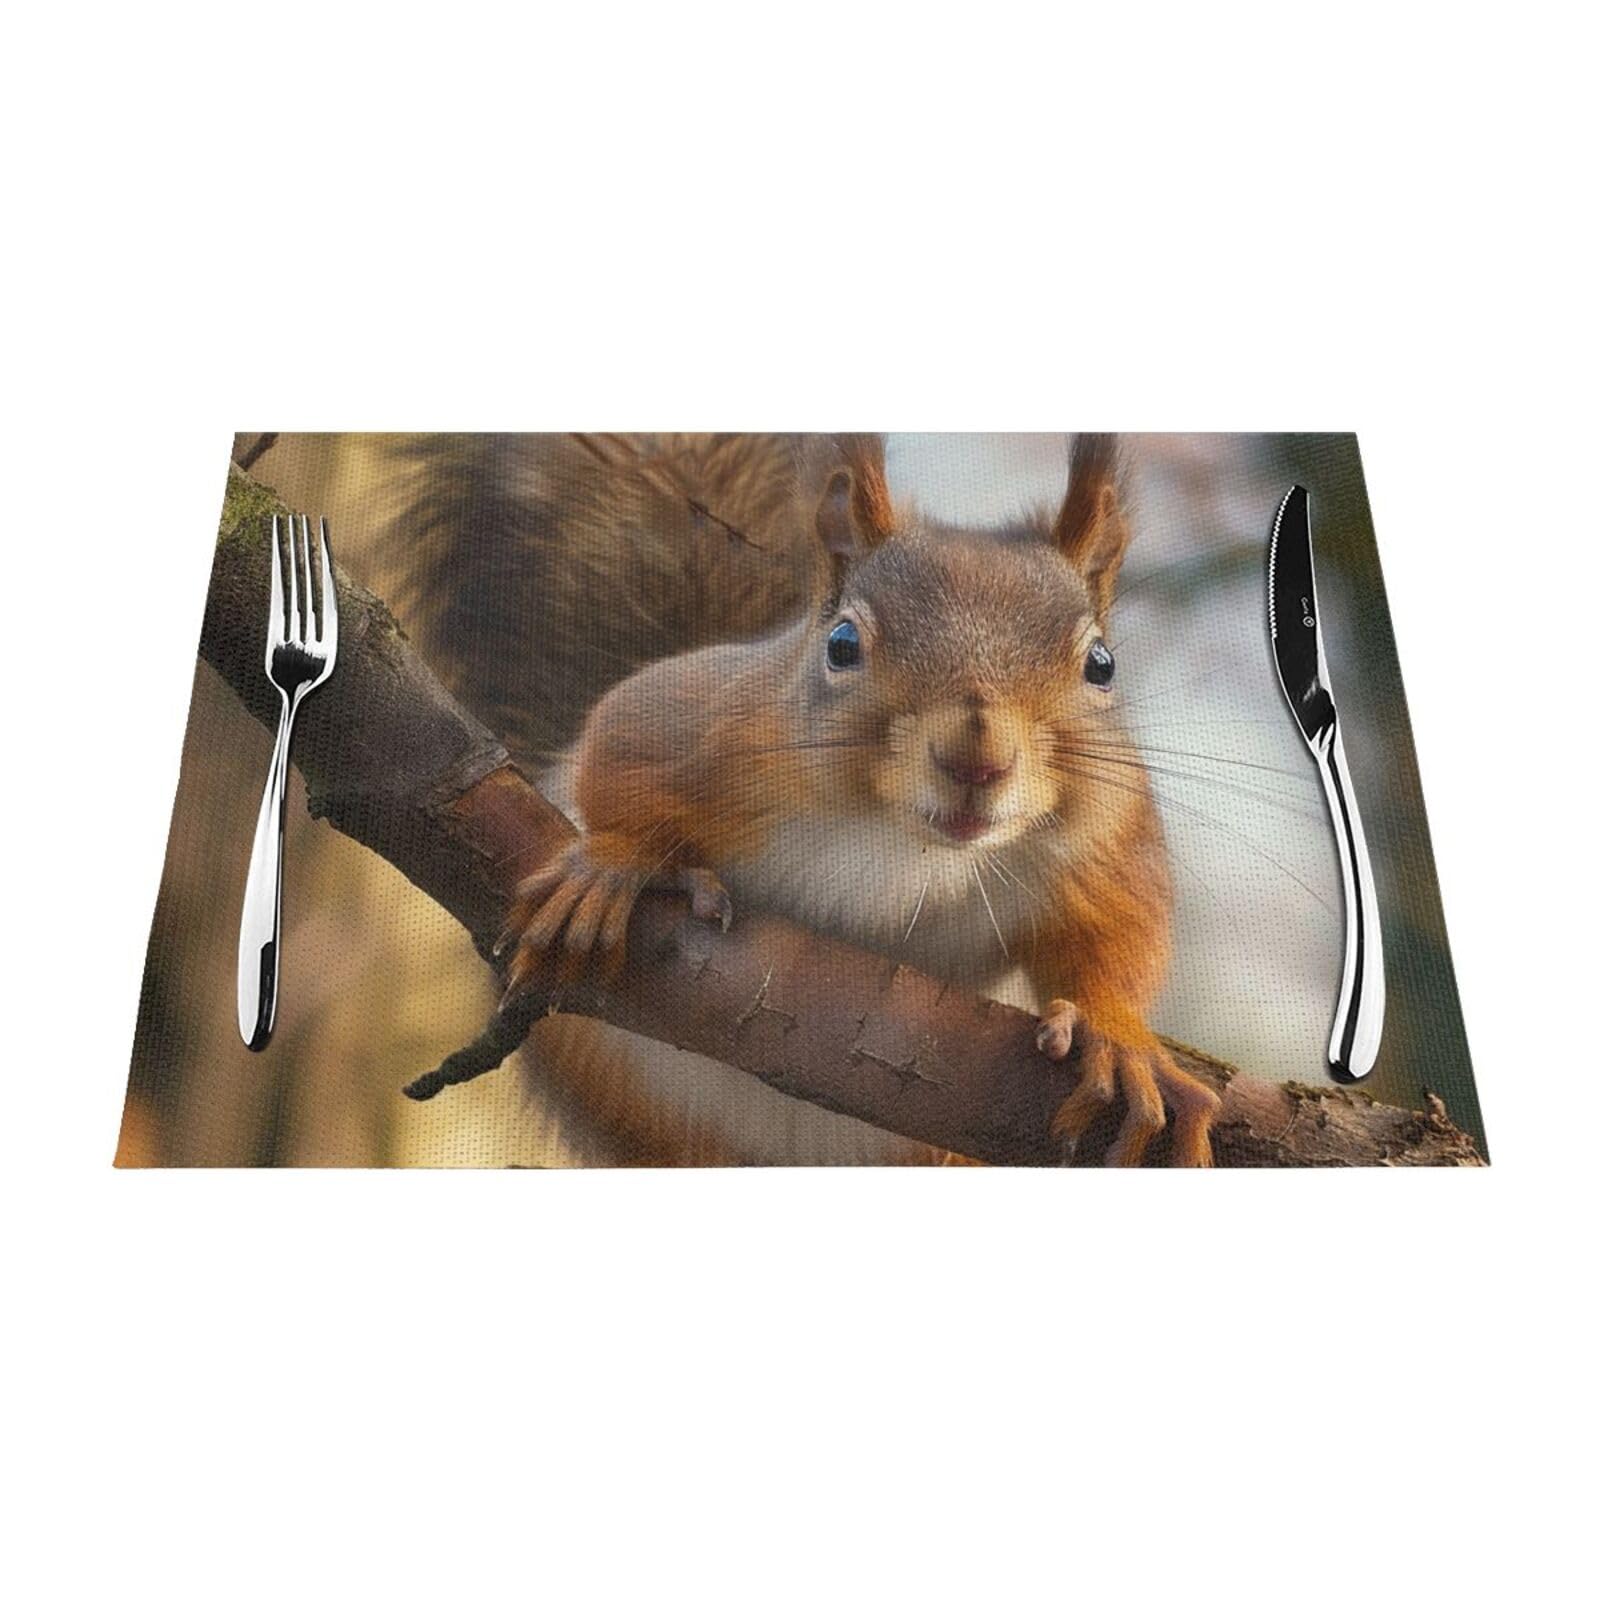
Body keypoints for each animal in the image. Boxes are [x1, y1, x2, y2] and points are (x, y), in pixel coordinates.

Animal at [390, 433, 1220, 1166]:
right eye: (842, 645)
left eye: (1102, 666)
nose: (976, 759)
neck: (902, 841)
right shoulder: (701, 718)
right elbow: (618, 751)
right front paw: (617, 862)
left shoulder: (1109, 832)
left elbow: (1118, 931)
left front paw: (1117, 1038)